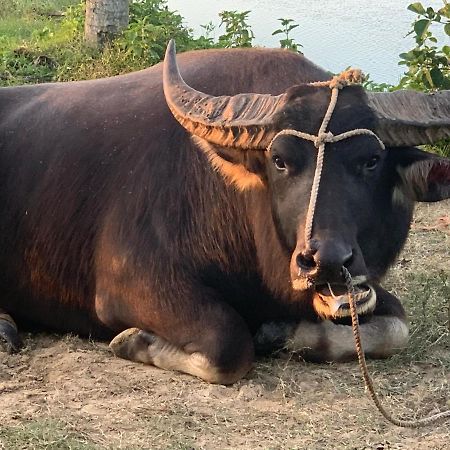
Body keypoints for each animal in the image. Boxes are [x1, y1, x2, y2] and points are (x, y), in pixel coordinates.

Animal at [0, 42, 448, 384]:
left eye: (372, 160)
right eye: (280, 161)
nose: (326, 262)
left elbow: (397, 326)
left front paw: (279, 332)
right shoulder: (127, 286)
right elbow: (228, 344)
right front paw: (135, 341)